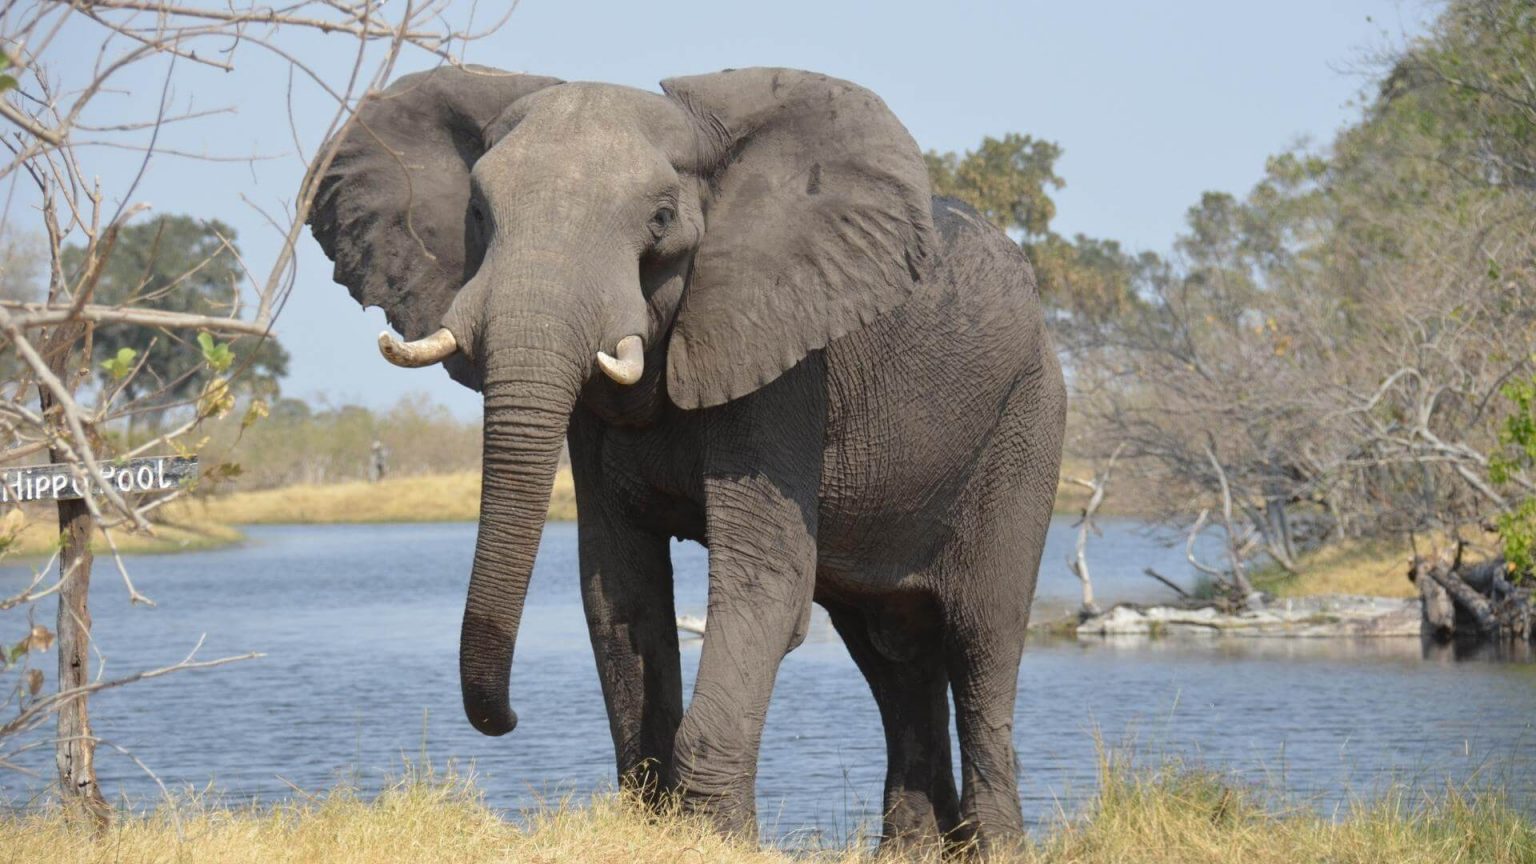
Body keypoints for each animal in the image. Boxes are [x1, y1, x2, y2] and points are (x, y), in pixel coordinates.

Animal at [304, 65, 1065, 854]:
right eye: (479, 213)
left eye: (662, 218)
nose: (508, 720)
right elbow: (618, 588)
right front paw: (658, 821)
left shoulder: (784, 362)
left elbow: (766, 585)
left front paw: (719, 839)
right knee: (892, 654)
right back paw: (912, 851)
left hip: (1029, 420)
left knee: (983, 637)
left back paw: (998, 847)